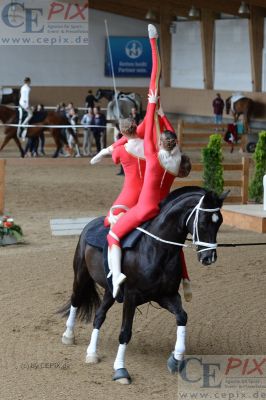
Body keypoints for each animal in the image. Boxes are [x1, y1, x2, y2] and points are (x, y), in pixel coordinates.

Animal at [60, 188, 229, 384]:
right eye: (202, 222)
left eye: (220, 222)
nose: (209, 258)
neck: (157, 249)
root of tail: (91, 223)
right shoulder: (131, 297)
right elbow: (125, 332)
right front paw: (120, 370)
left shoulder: (166, 295)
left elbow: (182, 316)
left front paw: (175, 359)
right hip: (81, 275)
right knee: (76, 300)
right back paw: (68, 335)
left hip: (111, 291)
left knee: (99, 315)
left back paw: (92, 353)